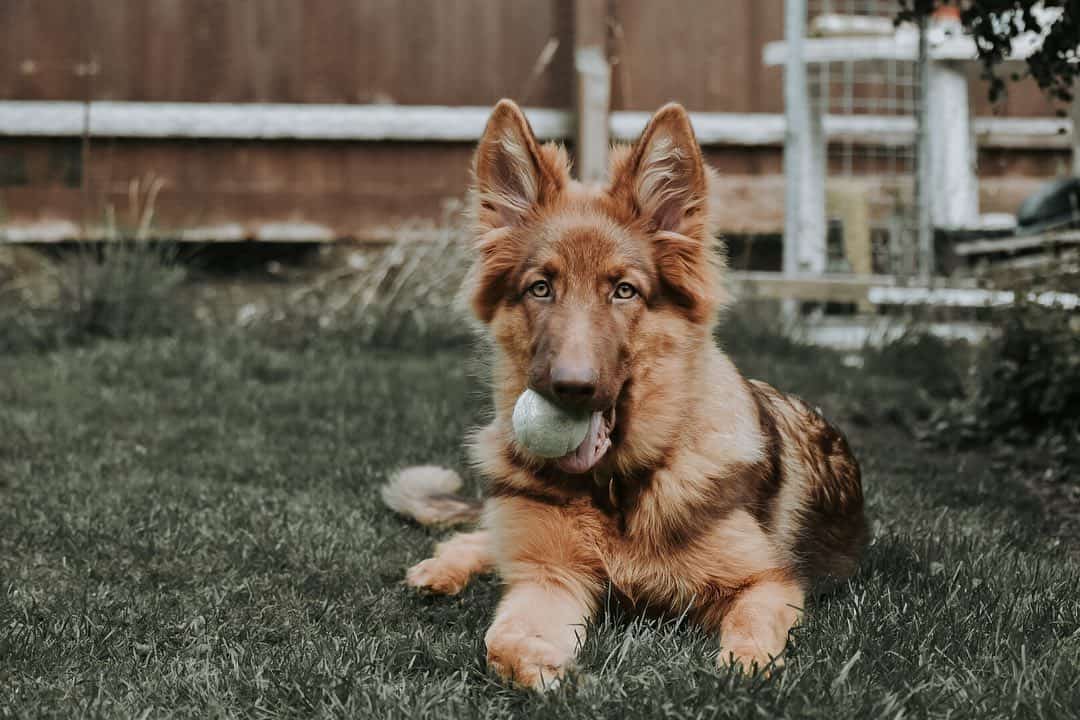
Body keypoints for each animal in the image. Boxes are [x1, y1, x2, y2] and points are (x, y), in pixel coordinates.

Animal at [382, 98, 868, 690]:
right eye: (540, 288)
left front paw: (743, 668)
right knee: (484, 537)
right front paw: (547, 667)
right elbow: (501, 641)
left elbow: (749, 632)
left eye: (624, 291)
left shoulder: (766, 581)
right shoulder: (550, 577)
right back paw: (441, 569)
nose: (572, 389)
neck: (614, 489)